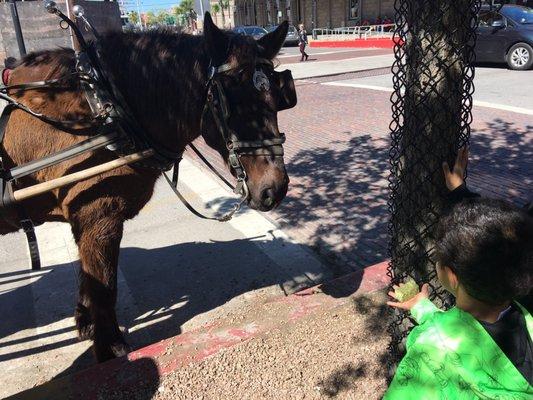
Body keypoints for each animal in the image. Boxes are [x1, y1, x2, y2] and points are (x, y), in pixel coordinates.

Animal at [0, 14, 290, 362]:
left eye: (277, 98)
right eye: (232, 103)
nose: (274, 188)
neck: (105, 112)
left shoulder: (84, 220)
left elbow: (88, 276)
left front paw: (86, 322)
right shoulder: (98, 218)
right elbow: (103, 287)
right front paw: (109, 348)